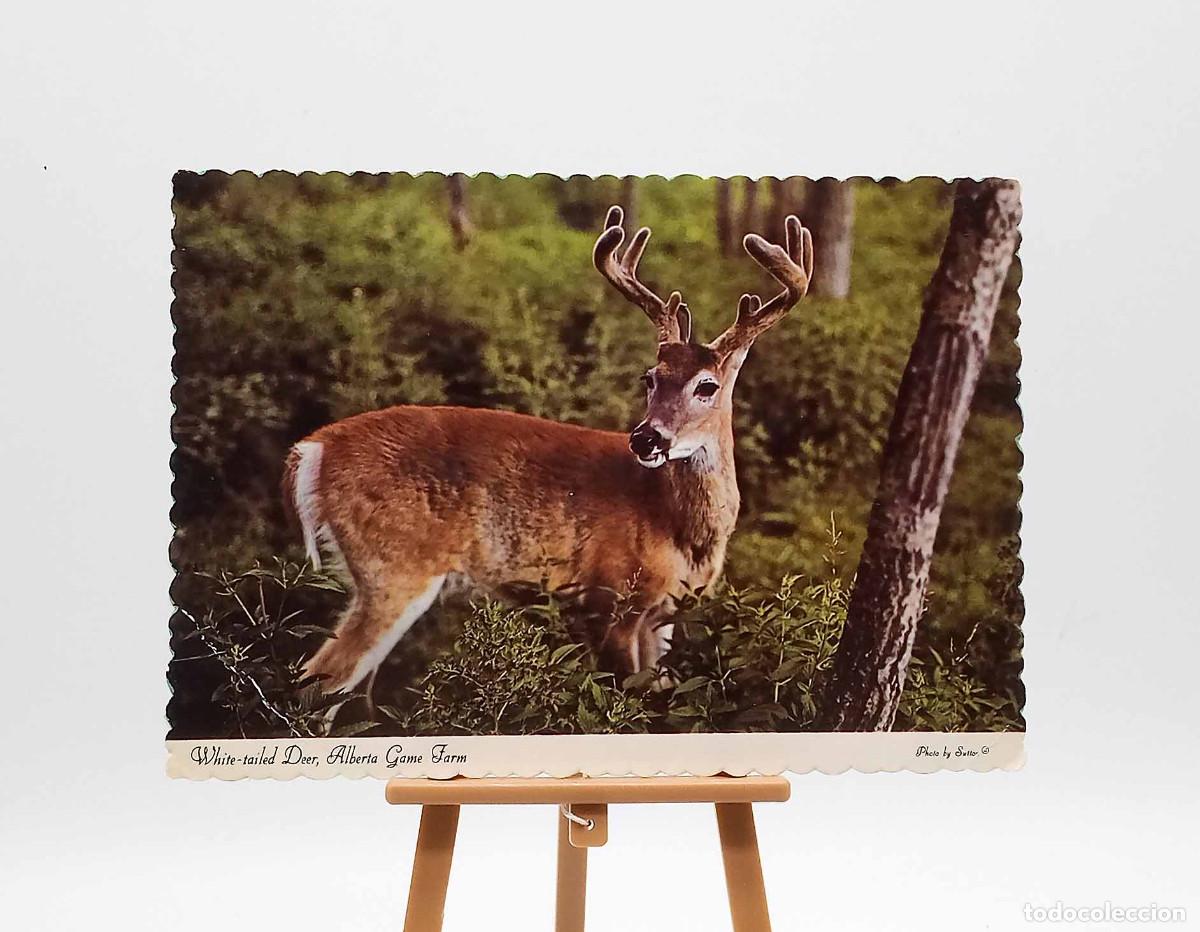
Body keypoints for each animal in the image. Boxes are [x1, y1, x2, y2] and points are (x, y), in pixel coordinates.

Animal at [283, 204, 813, 700]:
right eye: (650, 378)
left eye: (707, 385)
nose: (646, 438)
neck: (675, 525)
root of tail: (312, 450)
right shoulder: (609, 600)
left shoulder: (663, 615)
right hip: (392, 567)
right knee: (314, 681)